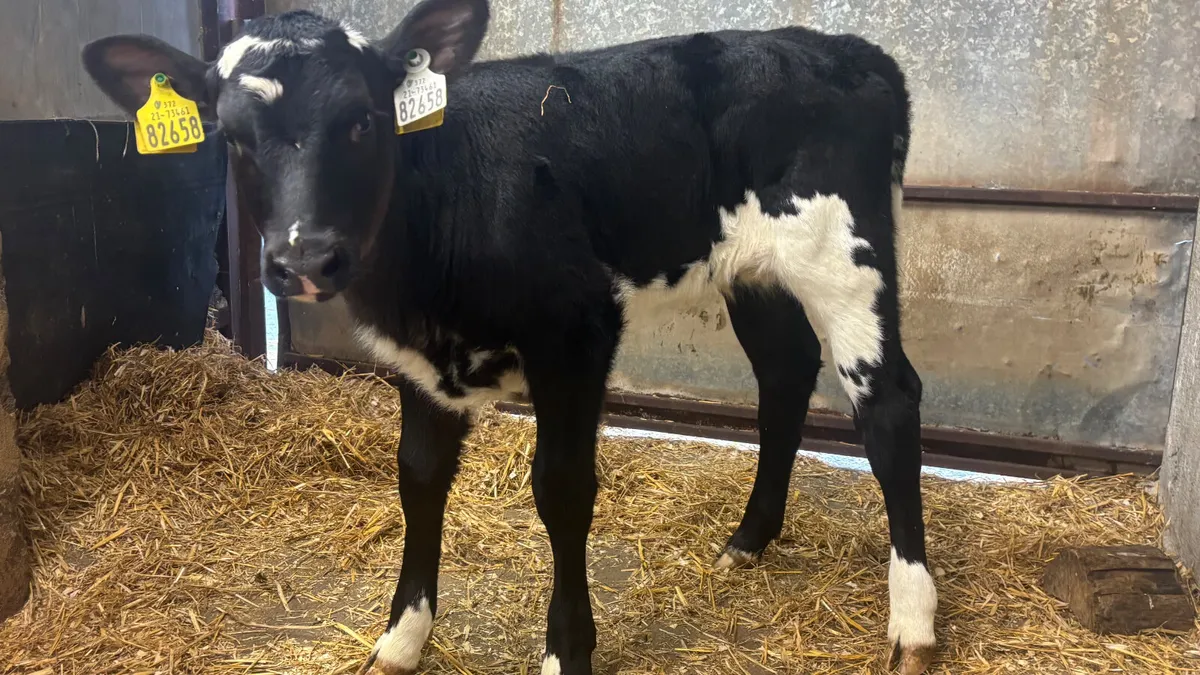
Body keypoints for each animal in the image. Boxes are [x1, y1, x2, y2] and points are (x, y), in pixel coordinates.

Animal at [82, 1, 936, 672]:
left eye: (362, 120)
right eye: (230, 135)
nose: (305, 259)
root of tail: (848, 50)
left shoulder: (578, 333)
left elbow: (562, 490)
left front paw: (567, 649)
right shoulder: (417, 361)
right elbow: (418, 478)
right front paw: (401, 639)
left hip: (844, 252)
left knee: (888, 401)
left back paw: (913, 619)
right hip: (754, 267)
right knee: (785, 375)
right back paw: (749, 539)